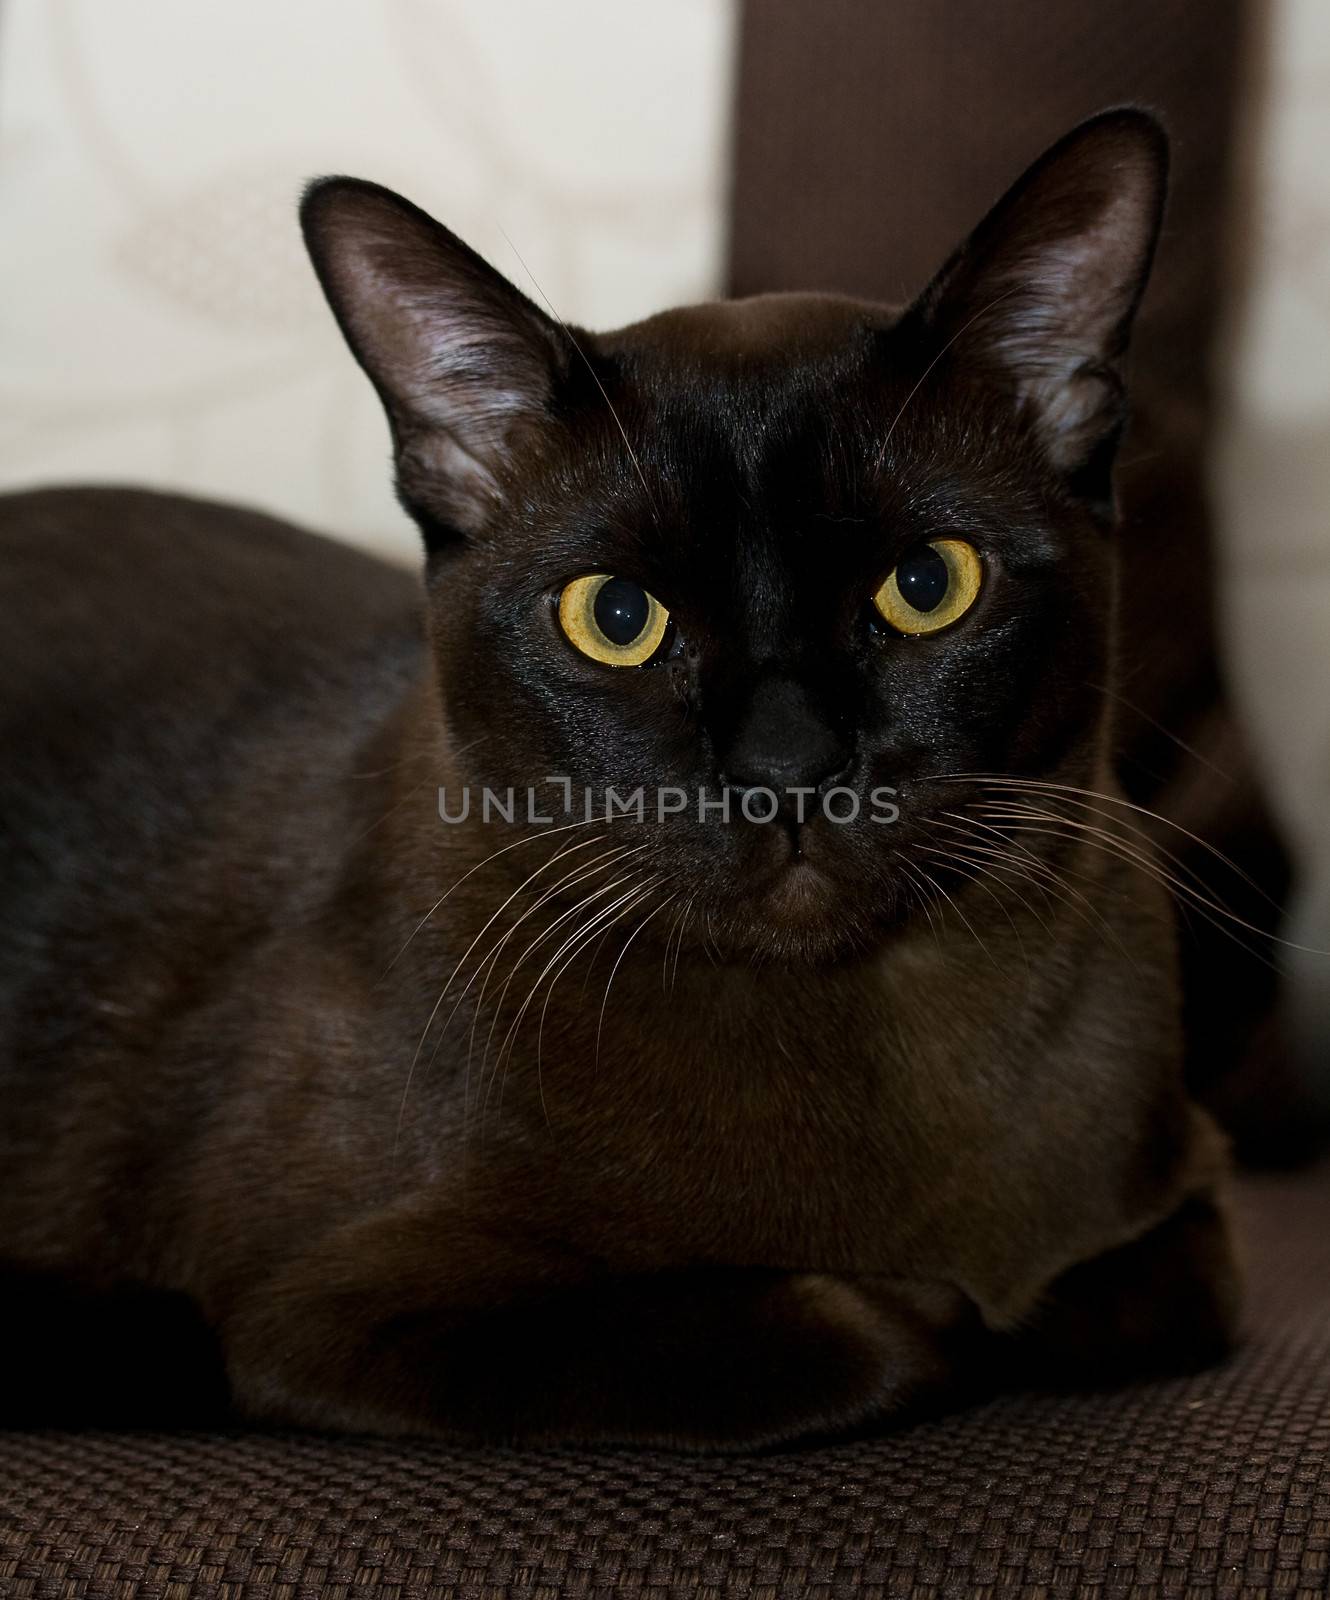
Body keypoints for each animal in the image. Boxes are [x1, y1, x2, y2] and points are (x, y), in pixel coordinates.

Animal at [2, 106, 1248, 1446]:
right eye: (614, 617)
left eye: (927, 585)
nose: (784, 766)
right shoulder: (320, 1317)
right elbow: (867, 1333)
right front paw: (941, 1310)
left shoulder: (1188, 1198)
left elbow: (1120, 1297)